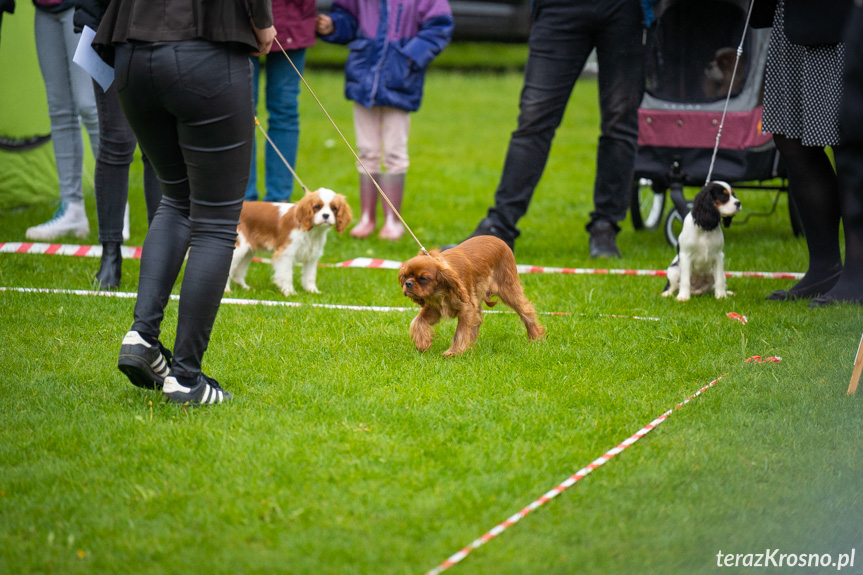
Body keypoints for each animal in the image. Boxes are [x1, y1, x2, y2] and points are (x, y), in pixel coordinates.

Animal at [228, 188, 356, 296]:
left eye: (334, 208)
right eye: (317, 207)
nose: (326, 215)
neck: (312, 231)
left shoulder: (312, 256)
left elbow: (310, 276)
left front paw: (313, 291)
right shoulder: (285, 254)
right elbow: (287, 275)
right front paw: (289, 292)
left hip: (248, 252)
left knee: (237, 272)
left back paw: (246, 288)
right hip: (239, 249)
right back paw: (227, 290)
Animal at [398, 235, 548, 356]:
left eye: (424, 278)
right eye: (405, 276)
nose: (408, 284)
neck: (441, 292)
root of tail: (499, 240)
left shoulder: (466, 309)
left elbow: (460, 332)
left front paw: (454, 352)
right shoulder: (433, 309)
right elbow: (418, 322)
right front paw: (422, 343)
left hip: (509, 289)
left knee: (526, 310)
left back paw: (535, 337)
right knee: (478, 320)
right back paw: (472, 345)